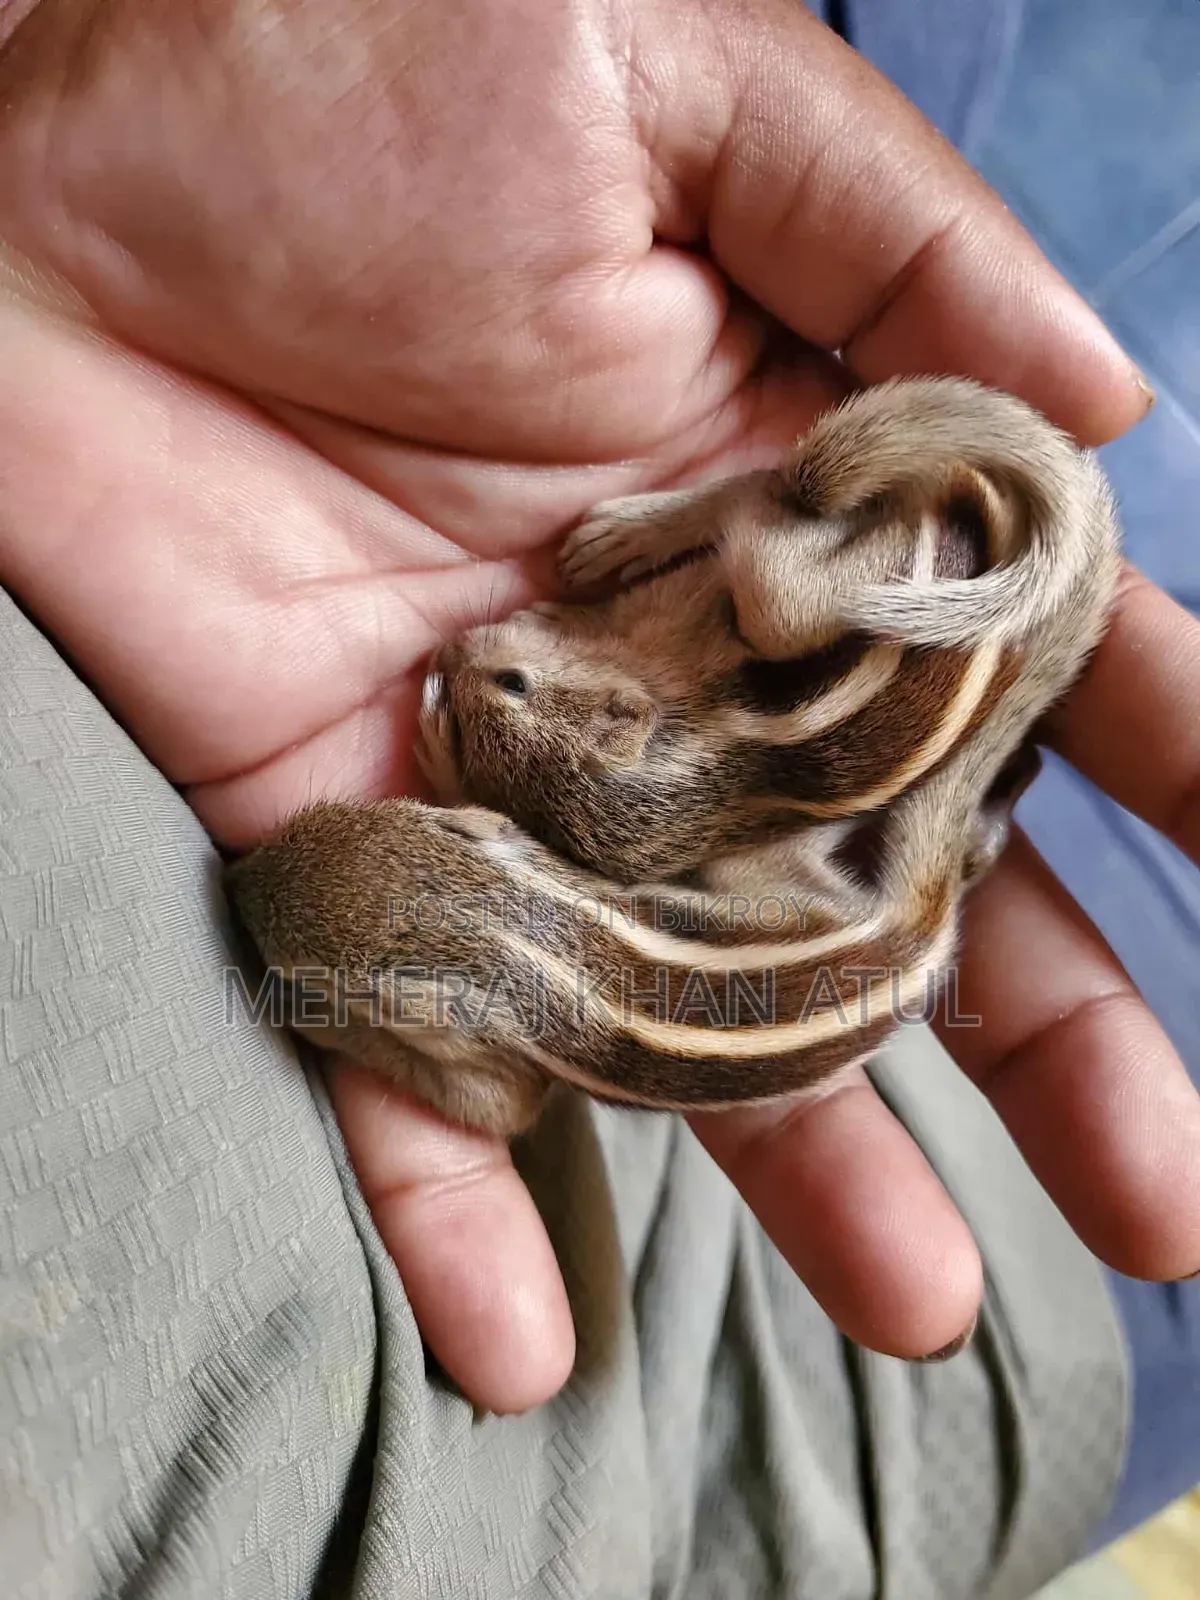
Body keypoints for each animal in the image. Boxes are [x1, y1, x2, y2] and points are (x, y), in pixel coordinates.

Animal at [225, 377, 1121, 1137]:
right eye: (333, 816)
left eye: (308, 978)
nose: (234, 879)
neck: (524, 931)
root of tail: (914, 945)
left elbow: (498, 1110)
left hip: (794, 632)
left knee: (770, 524)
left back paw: (635, 531)